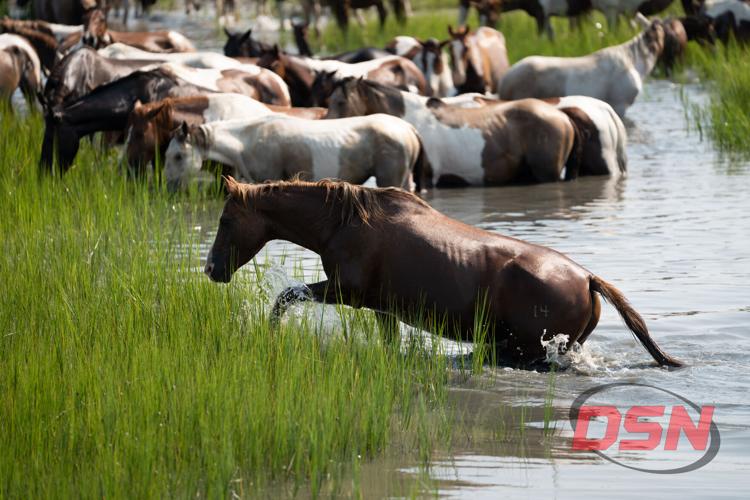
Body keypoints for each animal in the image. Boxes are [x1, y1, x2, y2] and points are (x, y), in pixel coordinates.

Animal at [204, 177, 683, 369]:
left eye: (226, 220)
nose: (210, 270)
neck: (343, 222)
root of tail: (588, 279)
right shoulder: (381, 307)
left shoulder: (347, 292)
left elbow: (285, 296)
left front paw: (270, 333)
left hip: (531, 348)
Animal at [326, 78, 585, 188]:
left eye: (340, 101)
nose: (325, 123)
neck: (411, 122)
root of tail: (562, 116)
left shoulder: (427, 179)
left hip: (547, 174)